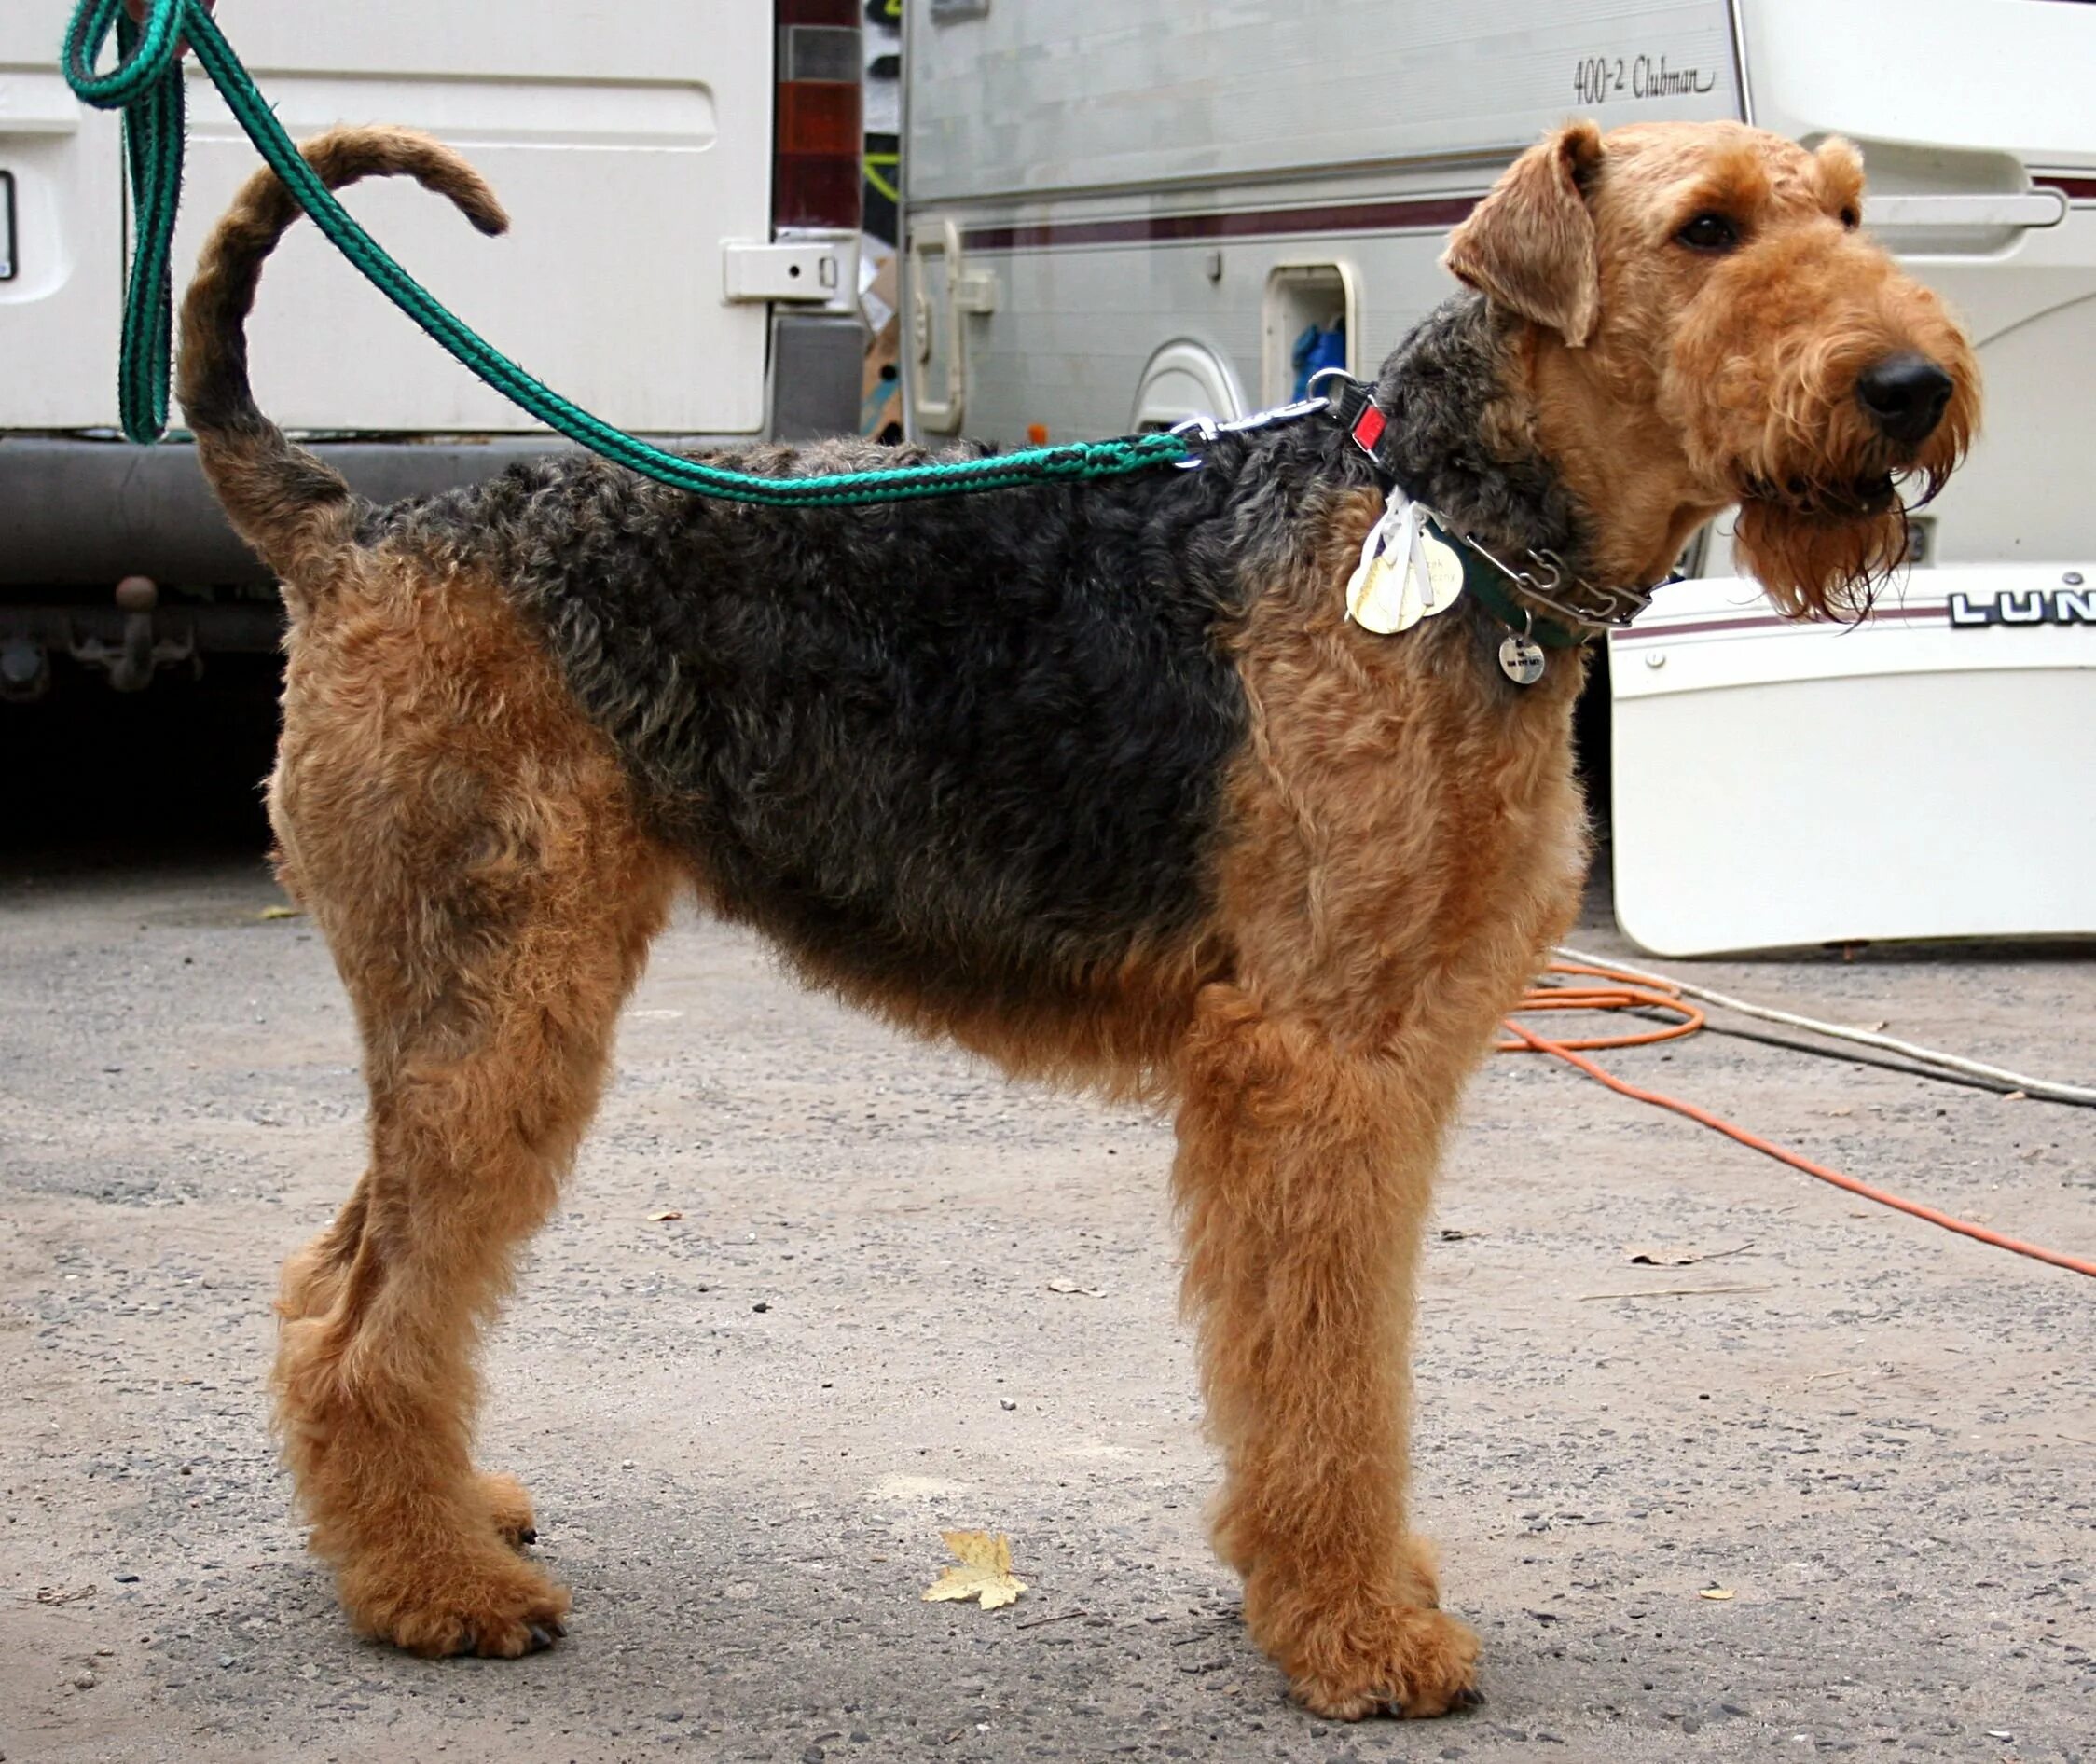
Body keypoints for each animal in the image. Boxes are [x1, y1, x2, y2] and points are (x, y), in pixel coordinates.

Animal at [175, 117, 1962, 1709]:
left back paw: (449, 1522)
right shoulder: (1313, 1062)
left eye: (1850, 208)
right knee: (361, 1316)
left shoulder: (1390, 1054)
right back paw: (437, 1592)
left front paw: (1359, 1591)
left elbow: (1344, 1357)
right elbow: (1324, 1372)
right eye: (1707, 228)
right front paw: (1357, 1636)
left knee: (333, 1280)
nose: (1914, 386)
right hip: (500, 999)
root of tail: (358, 528)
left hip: (462, 1009)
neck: (1450, 531)